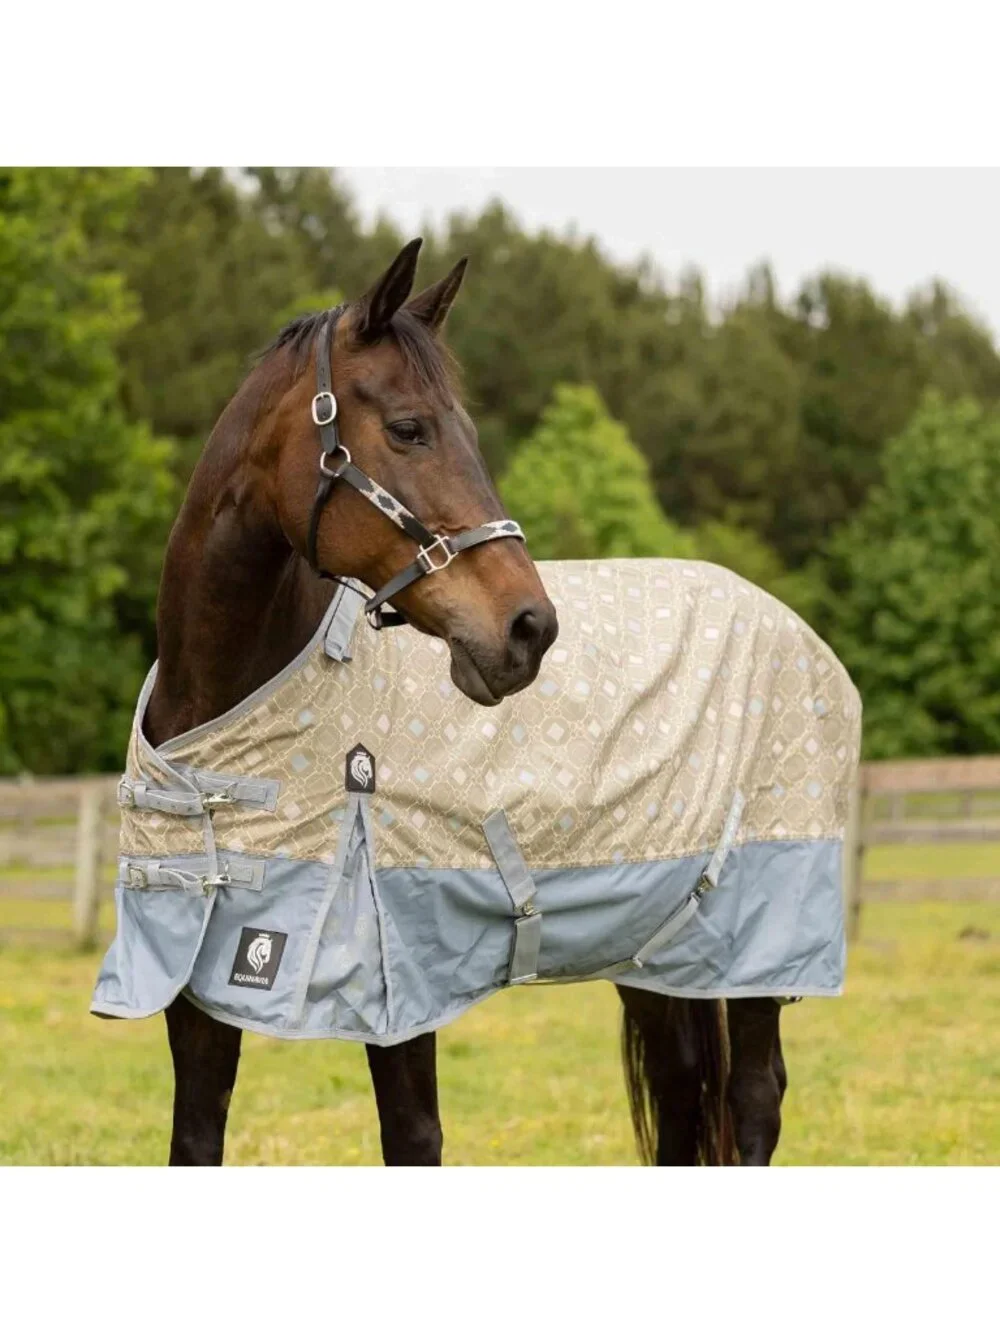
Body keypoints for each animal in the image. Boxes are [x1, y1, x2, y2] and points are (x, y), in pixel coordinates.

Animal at [121, 238, 791, 1166]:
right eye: (410, 427)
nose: (530, 627)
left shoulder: (401, 982)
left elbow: (412, 1135)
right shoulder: (197, 980)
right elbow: (195, 1137)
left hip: (760, 945)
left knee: (755, 1097)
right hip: (660, 946)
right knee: (689, 1094)